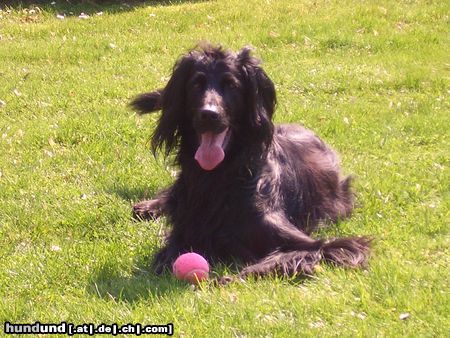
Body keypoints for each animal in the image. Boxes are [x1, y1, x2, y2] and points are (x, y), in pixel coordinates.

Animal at [130, 43, 370, 280]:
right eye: (196, 84)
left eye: (231, 85)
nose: (209, 114)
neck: (220, 177)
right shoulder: (186, 229)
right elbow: (168, 252)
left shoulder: (317, 244)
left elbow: (279, 259)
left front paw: (227, 279)